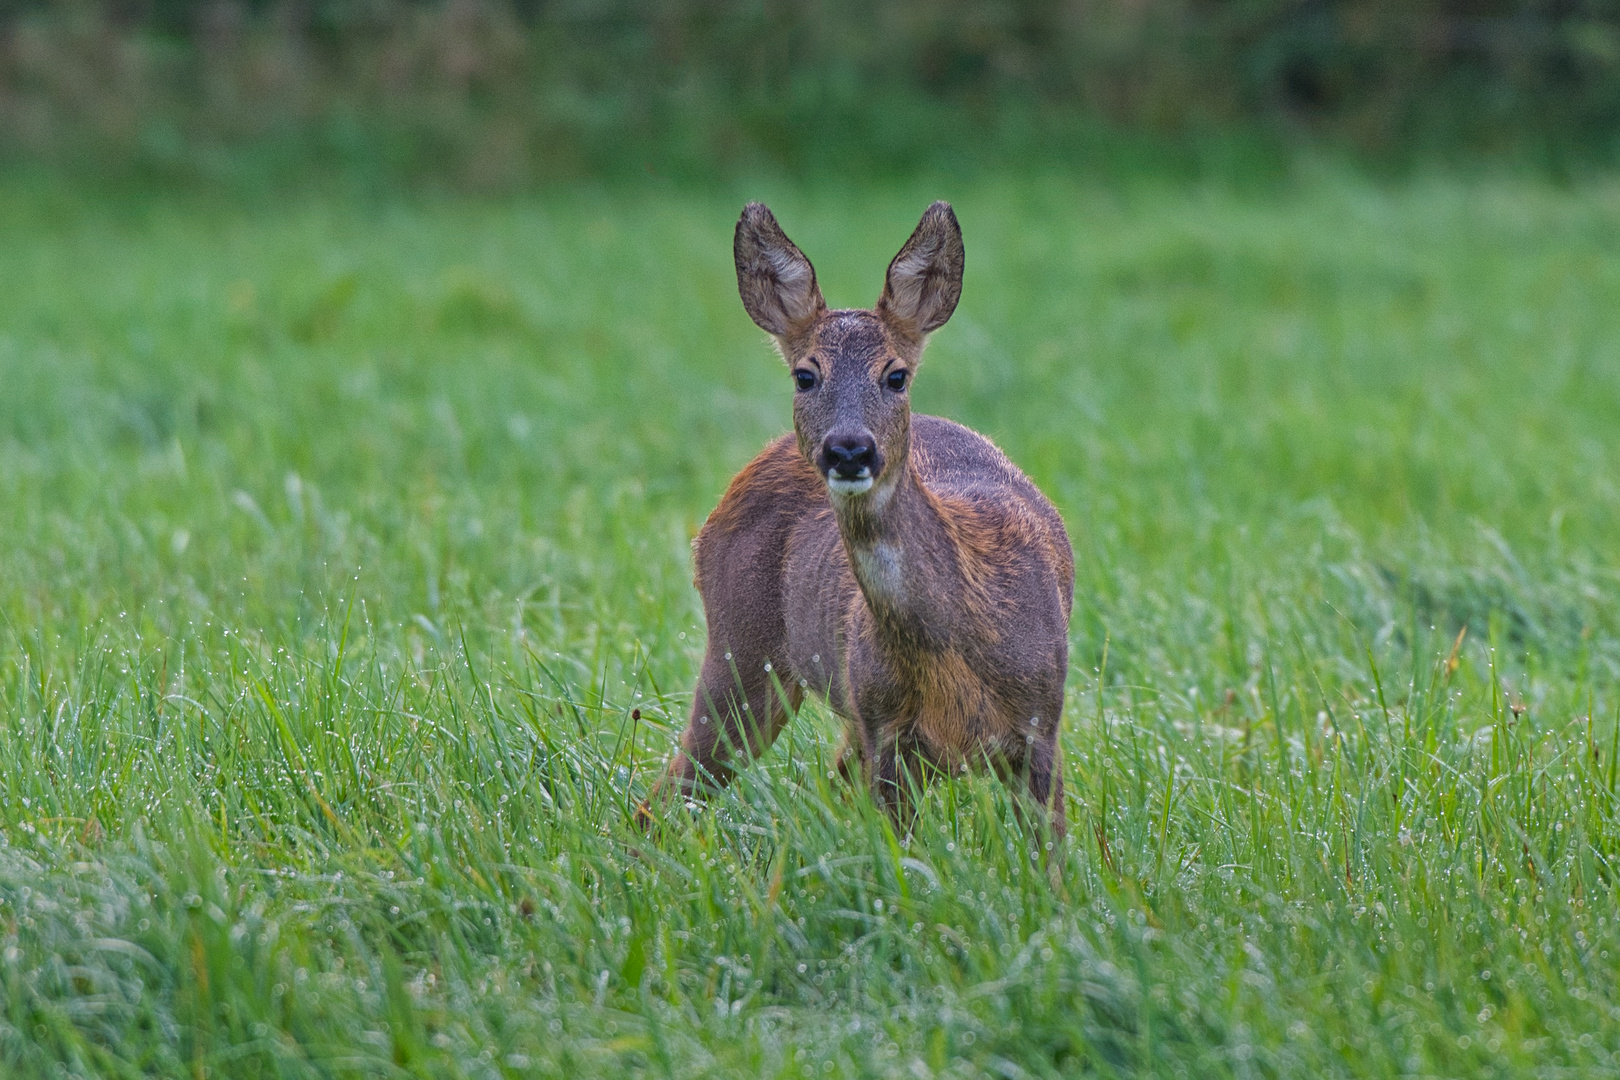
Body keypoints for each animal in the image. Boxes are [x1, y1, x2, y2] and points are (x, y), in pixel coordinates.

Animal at [641, 207, 1075, 841]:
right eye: (805, 375)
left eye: (896, 376)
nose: (848, 450)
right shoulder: (883, 727)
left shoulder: (1043, 722)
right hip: (741, 650)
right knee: (668, 792)